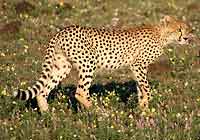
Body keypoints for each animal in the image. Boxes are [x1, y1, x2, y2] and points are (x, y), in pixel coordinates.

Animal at [12, 15, 194, 111]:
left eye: (187, 28)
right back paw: (98, 112)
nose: (187, 37)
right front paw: (145, 107)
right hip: (88, 63)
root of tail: (61, 31)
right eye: (179, 29)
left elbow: (140, 89)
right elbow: (147, 89)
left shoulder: (137, 68)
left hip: (61, 66)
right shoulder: (138, 65)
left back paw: (49, 116)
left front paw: (142, 109)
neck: (161, 35)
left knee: (43, 91)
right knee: (80, 92)